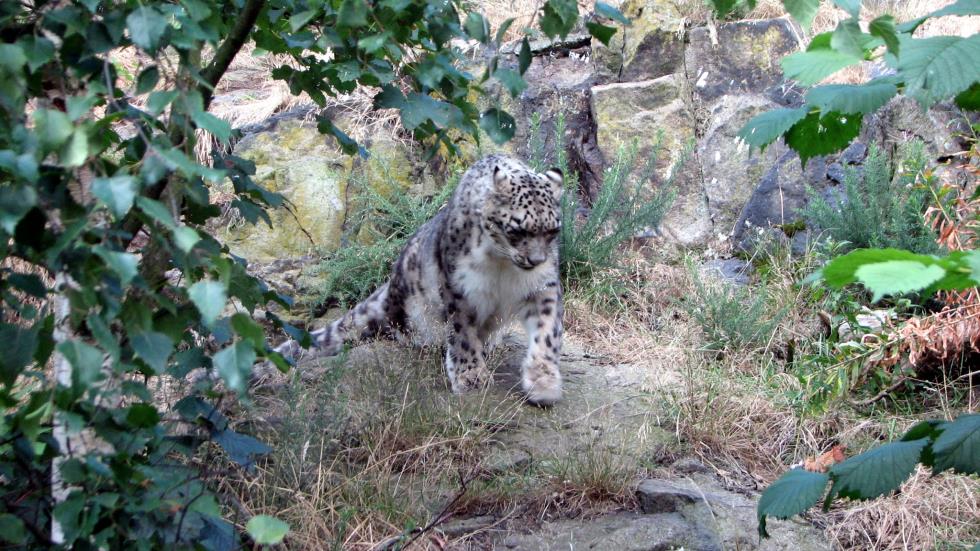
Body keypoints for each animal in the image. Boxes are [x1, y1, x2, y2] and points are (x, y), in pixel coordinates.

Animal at [272, 154, 564, 406]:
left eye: (552, 230)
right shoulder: (460, 288)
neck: (503, 265)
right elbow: (463, 333)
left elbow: (547, 331)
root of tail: (390, 285)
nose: (536, 260)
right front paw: (471, 377)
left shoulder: (543, 287)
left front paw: (543, 381)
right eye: (517, 230)